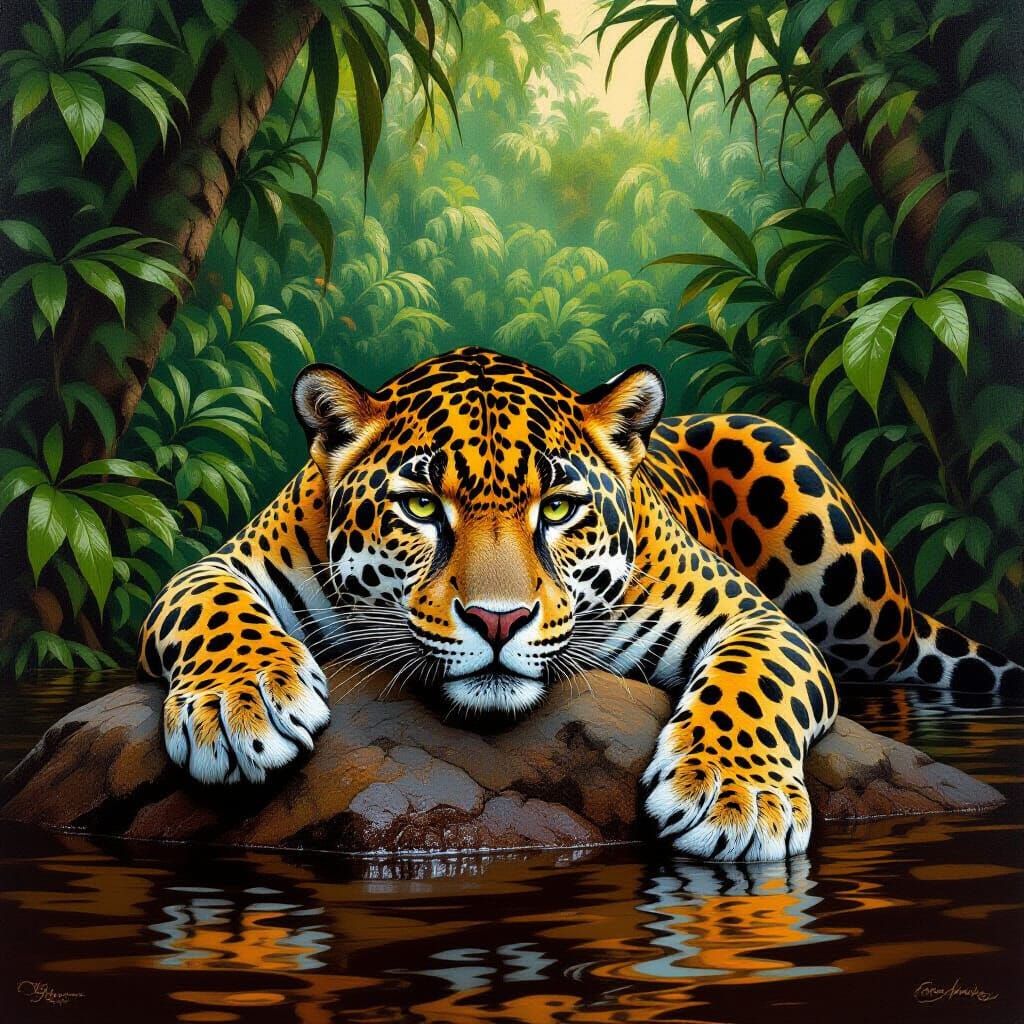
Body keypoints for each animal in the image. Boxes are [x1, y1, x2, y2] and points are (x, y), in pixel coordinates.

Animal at [139, 347, 1022, 861]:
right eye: (421, 507)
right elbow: (212, 606)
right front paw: (237, 707)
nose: (497, 620)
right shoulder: (220, 565)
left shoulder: (756, 617)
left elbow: (751, 682)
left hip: (837, 562)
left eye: (560, 509)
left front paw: (736, 799)